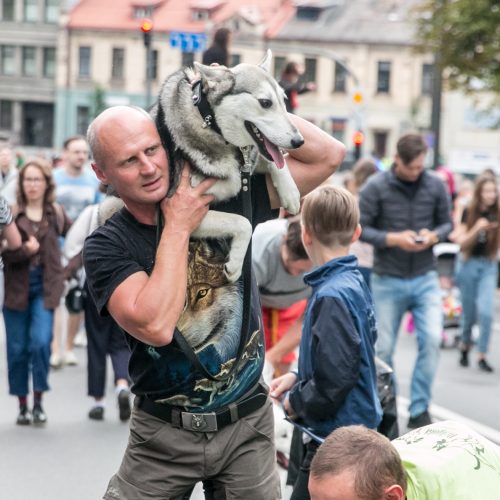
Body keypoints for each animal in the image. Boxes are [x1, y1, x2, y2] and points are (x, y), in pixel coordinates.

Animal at [155, 52, 304, 284]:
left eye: (284, 100)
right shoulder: (177, 213)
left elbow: (274, 161)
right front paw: (235, 264)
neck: (213, 126)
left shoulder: (251, 160)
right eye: (265, 103)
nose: (299, 141)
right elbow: (243, 222)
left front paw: (290, 193)